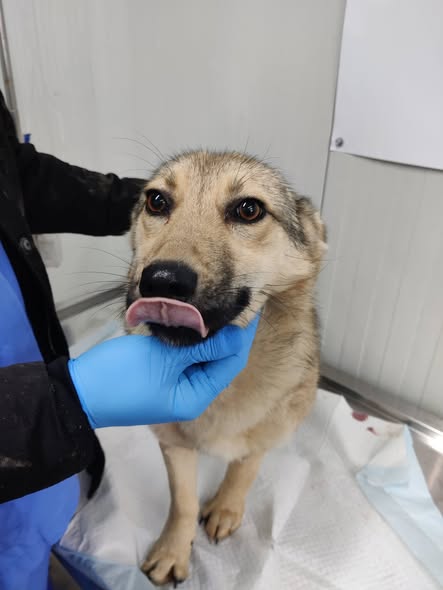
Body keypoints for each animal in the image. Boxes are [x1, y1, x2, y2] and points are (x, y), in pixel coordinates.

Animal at [125, 150, 326, 586]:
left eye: (249, 209)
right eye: (156, 201)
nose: (162, 280)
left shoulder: (267, 428)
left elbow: (244, 469)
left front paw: (225, 508)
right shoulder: (173, 442)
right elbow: (182, 502)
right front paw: (173, 550)